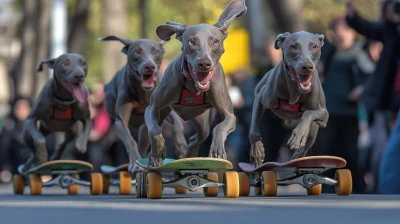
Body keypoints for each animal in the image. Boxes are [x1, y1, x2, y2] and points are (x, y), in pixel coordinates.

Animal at [99, 35, 188, 173]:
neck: (144, 94)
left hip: (144, 130)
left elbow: (177, 123)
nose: (149, 66)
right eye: (137, 51)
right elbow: (130, 140)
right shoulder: (120, 121)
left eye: (156, 51)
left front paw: (181, 146)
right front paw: (134, 163)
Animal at [144, 0, 247, 168]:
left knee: (198, 137)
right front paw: (157, 154)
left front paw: (217, 149)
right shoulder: (153, 108)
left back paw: (190, 157)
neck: (193, 85)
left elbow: (220, 126)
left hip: (202, 119)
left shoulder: (230, 115)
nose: (204, 63)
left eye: (215, 41)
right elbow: (154, 130)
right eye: (192, 41)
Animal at [248, 32, 330, 168]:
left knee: (302, 150)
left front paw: (298, 135)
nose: (307, 66)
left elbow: (308, 113)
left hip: (312, 133)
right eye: (293, 46)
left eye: (314, 46)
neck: (294, 89)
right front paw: (257, 152)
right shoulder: (260, 99)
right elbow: (254, 132)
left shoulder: (324, 115)